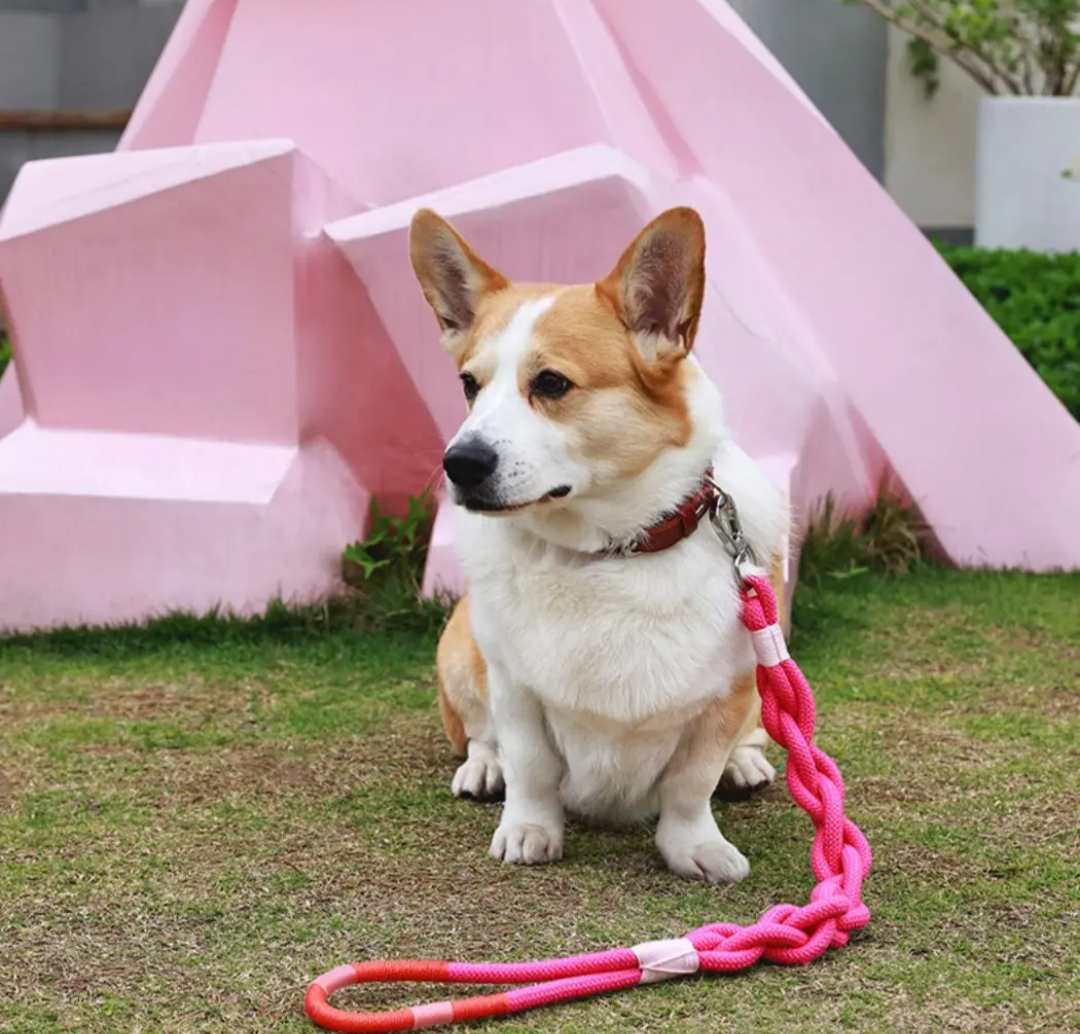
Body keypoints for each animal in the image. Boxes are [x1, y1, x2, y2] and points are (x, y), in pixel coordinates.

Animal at [408, 207, 790, 881]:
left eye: (552, 383)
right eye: (469, 385)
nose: (458, 463)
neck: (608, 552)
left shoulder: (726, 693)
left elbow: (691, 784)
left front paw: (695, 846)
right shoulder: (515, 689)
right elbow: (530, 768)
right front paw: (529, 830)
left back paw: (743, 763)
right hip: (459, 650)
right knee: (480, 734)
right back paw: (484, 765)